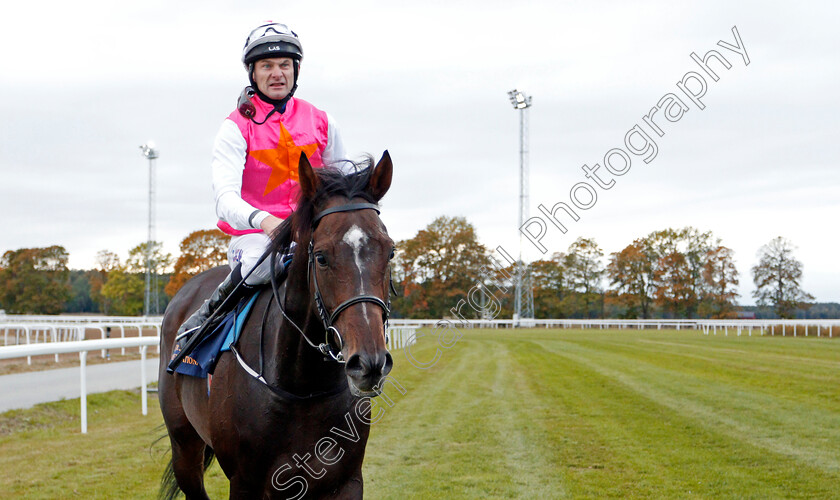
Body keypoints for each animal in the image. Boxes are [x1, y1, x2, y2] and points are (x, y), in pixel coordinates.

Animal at [161, 153, 398, 500]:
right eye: (321, 257)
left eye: (390, 251)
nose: (369, 363)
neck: (304, 388)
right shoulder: (246, 482)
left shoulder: (345, 480)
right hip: (184, 446)